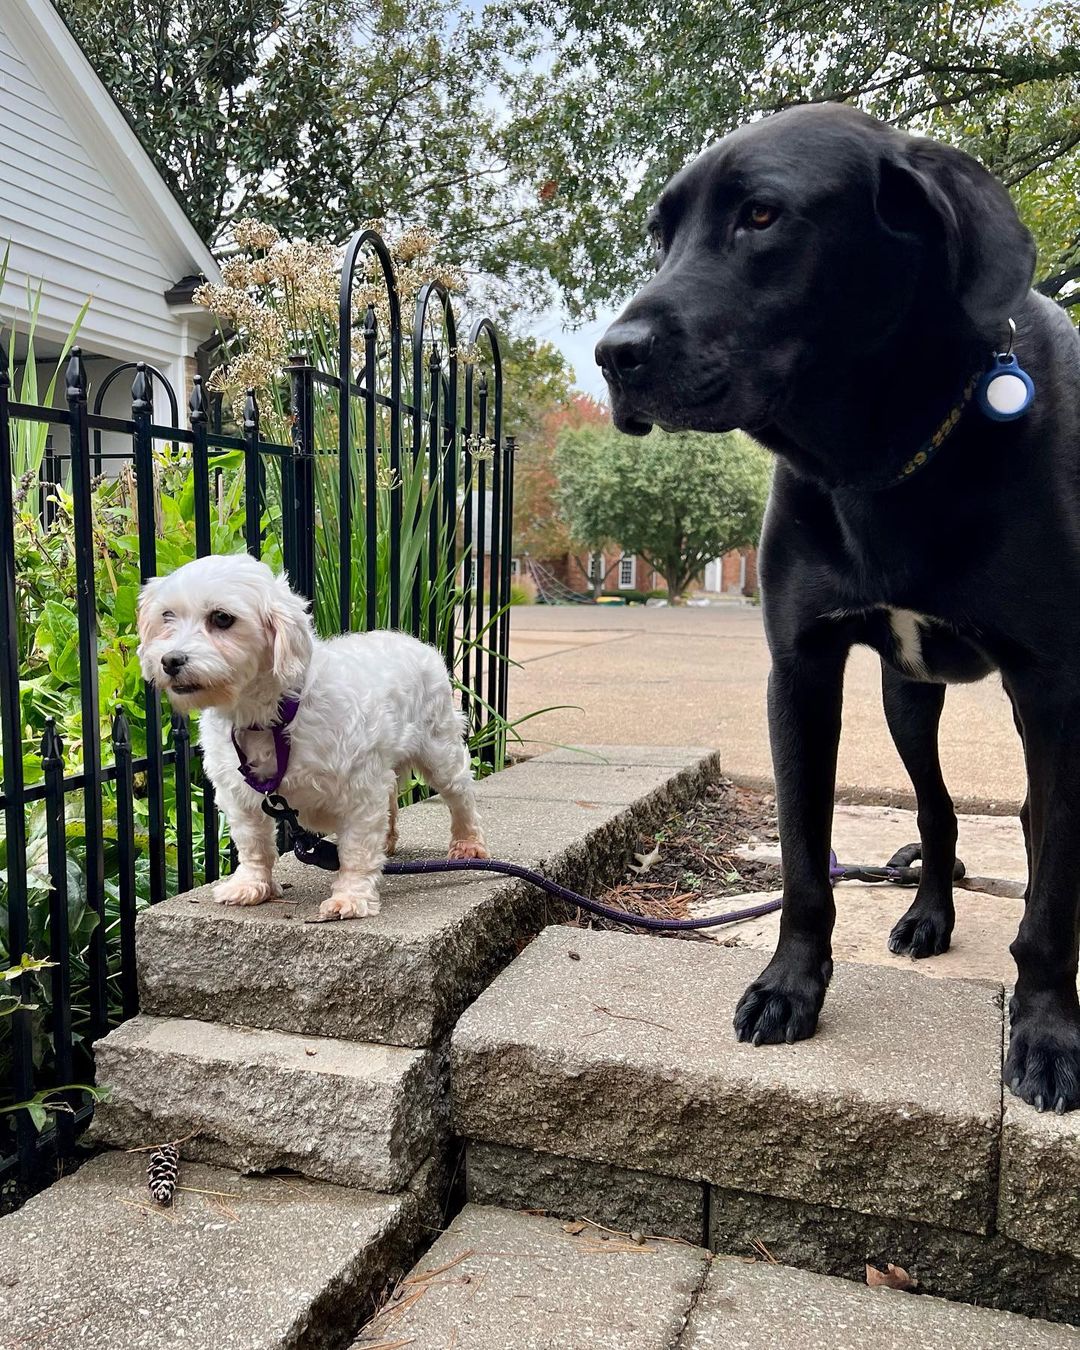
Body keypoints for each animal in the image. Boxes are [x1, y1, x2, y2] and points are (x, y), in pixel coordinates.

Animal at [137, 548, 486, 918]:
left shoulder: (360, 790)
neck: (272, 717)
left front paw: (351, 896)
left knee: (460, 792)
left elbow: (357, 850)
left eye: (221, 618)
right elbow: (253, 843)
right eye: (167, 616)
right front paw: (251, 884)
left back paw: (468, 843)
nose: (170, 660)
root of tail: (413, 642)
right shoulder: (238, 795)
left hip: (439, 750)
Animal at [594, 105, 1080, 1112]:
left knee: (1030, 827)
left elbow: (1054, 895)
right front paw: (789, 986)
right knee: (938, 813)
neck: (887, 456)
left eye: (763, 216)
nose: (612, 356)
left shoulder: (1057, 686)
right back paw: (929, 911)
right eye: (663, 233)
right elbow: (804, 864)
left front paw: (1050, 1031)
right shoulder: (802, 670)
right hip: (906, 699)